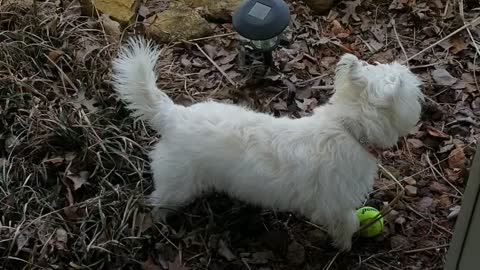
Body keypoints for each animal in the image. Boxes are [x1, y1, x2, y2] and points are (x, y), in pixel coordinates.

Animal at [112, 37, 424, 250]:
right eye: (412, 89)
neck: (349, 129)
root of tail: (173, 116)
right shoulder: (335, 205)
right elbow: (348, 223)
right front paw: (345, 246)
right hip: (178, 184)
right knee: (158, 201)